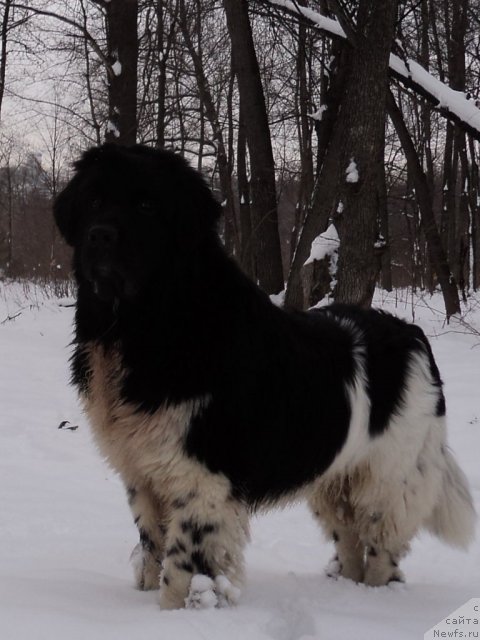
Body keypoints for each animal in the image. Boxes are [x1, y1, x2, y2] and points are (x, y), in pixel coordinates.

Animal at [54, 144, 474, 608]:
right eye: (93, 202)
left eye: (146, 205)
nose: (99, 236)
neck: (146, 324)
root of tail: (412, 334)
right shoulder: (142, 474)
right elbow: (152, 546)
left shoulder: (202, 478)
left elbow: (184, 562)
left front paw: (178, 611)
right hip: (333, 478)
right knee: (348, 539)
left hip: (389, 478)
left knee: (382, 546)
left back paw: (373, 597)